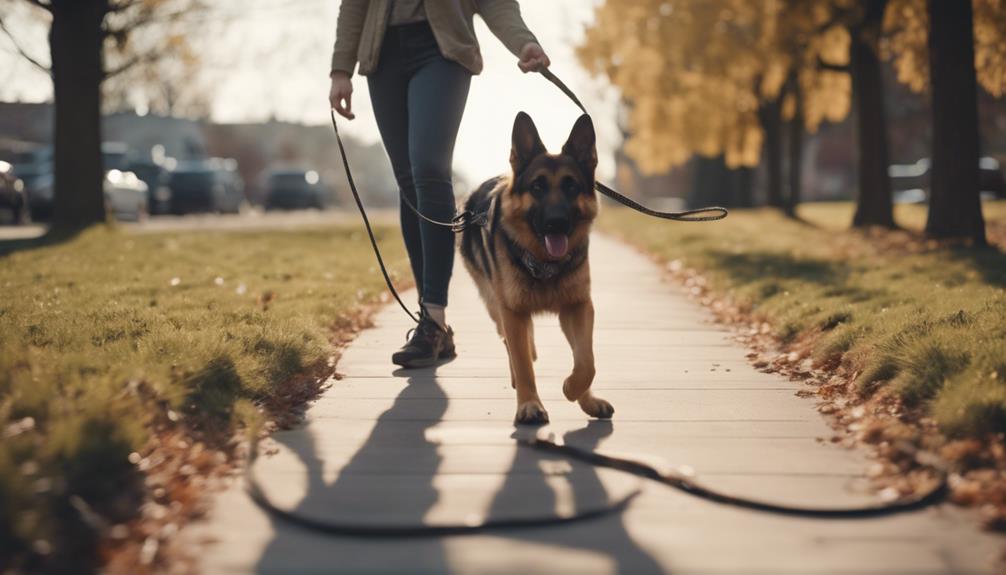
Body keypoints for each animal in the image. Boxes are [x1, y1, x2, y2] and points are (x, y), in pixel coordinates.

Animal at [460, 113, 607, 426]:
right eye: (537, 187)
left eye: (571, 186)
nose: (556, 223)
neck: (544, 264)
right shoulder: (513, 312)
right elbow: (523, 362)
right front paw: (529, 405)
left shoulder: (578, 307)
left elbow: (586, 360)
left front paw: (576, 391)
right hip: (496, 307)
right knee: (512, 346)